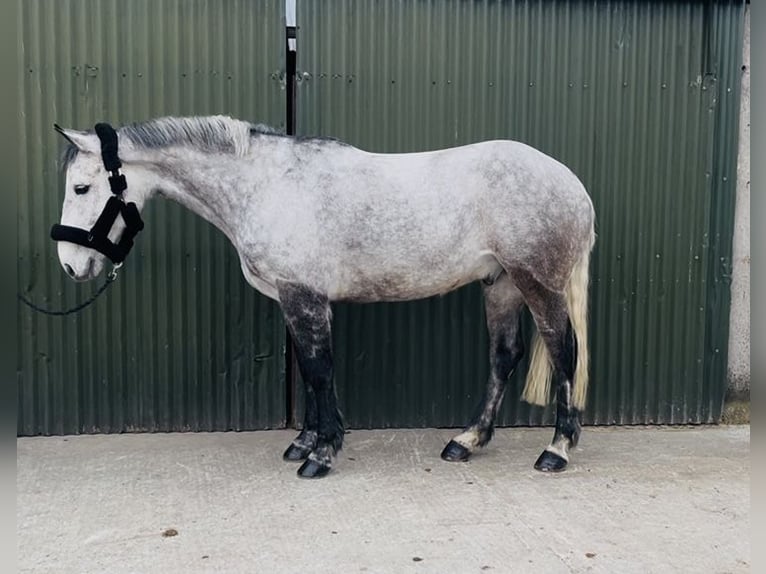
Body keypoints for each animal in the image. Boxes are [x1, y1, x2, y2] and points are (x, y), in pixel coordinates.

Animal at [51, 115, 595, 479]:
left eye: (80, 187)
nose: (71, 266)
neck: (265, 185)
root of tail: (573, 185)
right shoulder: (292, 299)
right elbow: (308, 371)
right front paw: (304, 441)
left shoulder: (304, 296)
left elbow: (317, 370)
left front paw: (321, 454)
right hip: (500, 284)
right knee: (504, 356)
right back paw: (466, 441)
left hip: (537, 283)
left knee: (563, 351)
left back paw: (556, 450)